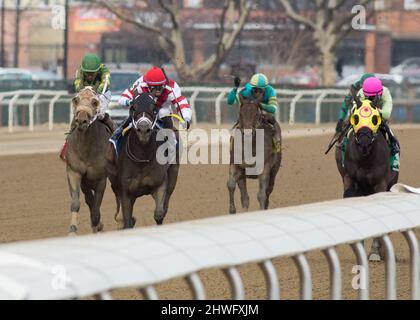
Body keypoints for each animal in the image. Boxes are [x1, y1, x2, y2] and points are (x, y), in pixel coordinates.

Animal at [65, 87, 113, 235]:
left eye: (95, 102)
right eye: (76, 99)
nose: (81, 120)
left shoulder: (101, 178)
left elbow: (96, 210)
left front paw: (96, 227)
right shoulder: (74, 172)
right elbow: (76, 203)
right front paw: (72, 230)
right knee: (88, 199)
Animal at [107, 92, 180, 228]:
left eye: (154, 108)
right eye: (133, 108)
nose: (144, 129)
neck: (142, 158)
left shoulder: (160, 184)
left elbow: (159, 214)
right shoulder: (125, 192)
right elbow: (127, 220)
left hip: (173, 173)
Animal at [336, 99, 398, 262]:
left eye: (375, 118)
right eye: (355, 117)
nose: (364, 143)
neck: (365, 158)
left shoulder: (380, 184)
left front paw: (375, 251)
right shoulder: (350, 180)